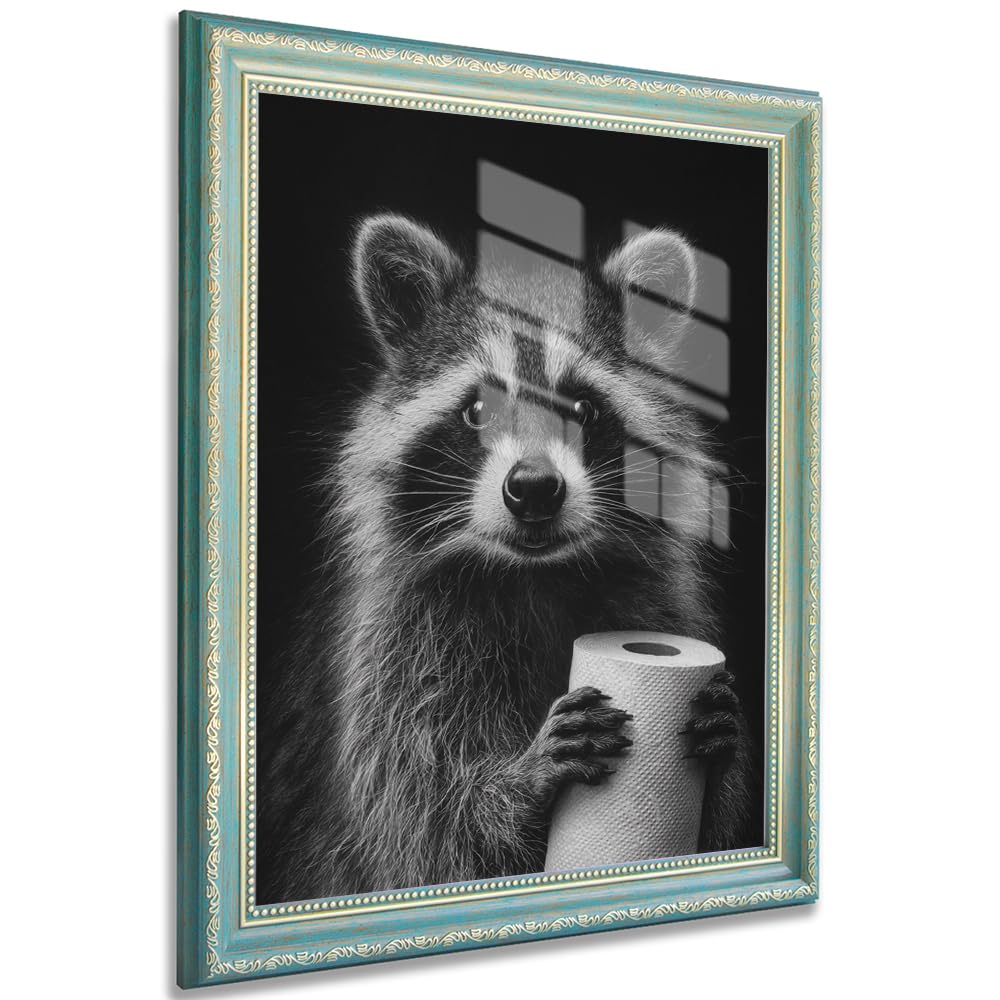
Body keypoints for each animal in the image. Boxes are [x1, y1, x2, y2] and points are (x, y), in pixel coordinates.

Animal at [258, 214, 754, 902]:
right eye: (479, 410)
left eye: (583, 409)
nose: (535, 488)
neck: (536, 576)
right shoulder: (400, 650)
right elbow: (431, 830)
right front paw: (517, 787)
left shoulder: (653, 604)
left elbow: (716, 834)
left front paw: (723, 759)